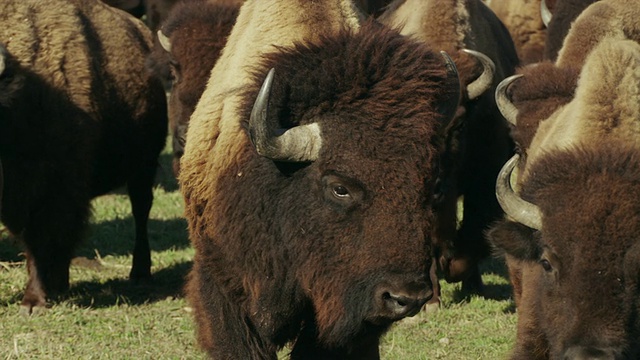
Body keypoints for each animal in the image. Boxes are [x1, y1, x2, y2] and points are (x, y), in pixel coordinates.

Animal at [0, 0, 168, 312]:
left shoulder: (55, 188)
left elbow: (44, 239)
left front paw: (33, 301)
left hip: (144, 167)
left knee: (141, 212)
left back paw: (140, 274)